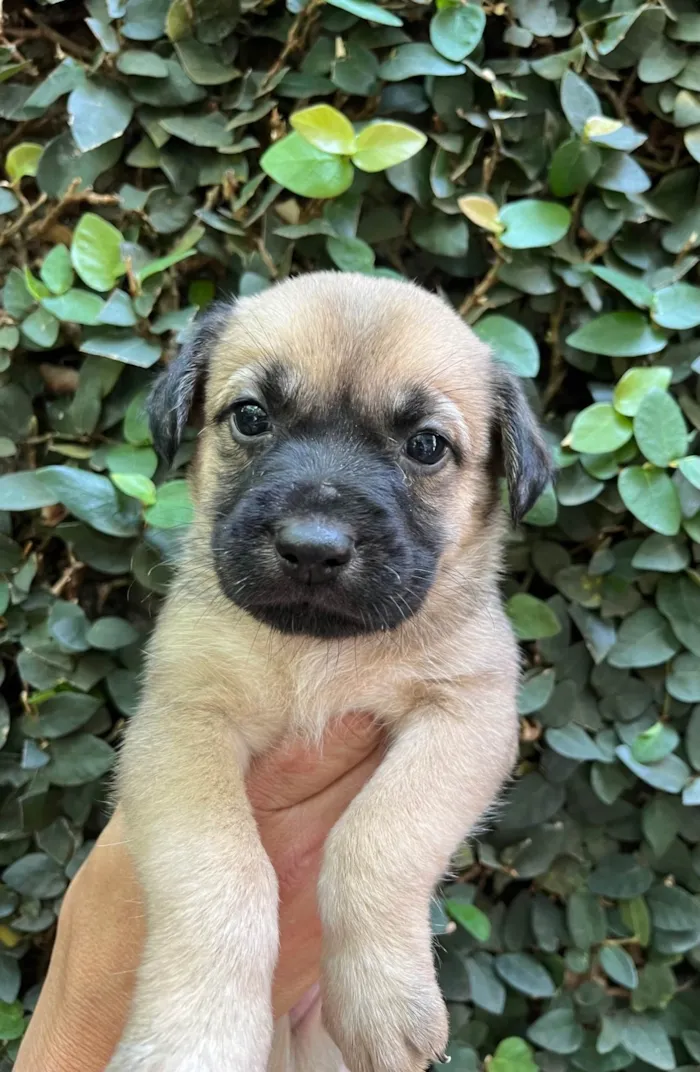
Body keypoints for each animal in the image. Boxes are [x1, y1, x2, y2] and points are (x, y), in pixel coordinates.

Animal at [105, 272, 553, 1072]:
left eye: (426, 445)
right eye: (251, 417)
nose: (313, 548)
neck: (319, 651)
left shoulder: (466, 716)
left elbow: (376, 841)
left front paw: (383, 998)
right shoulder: (182, 723)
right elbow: (219, 870)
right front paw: (194, 1035)